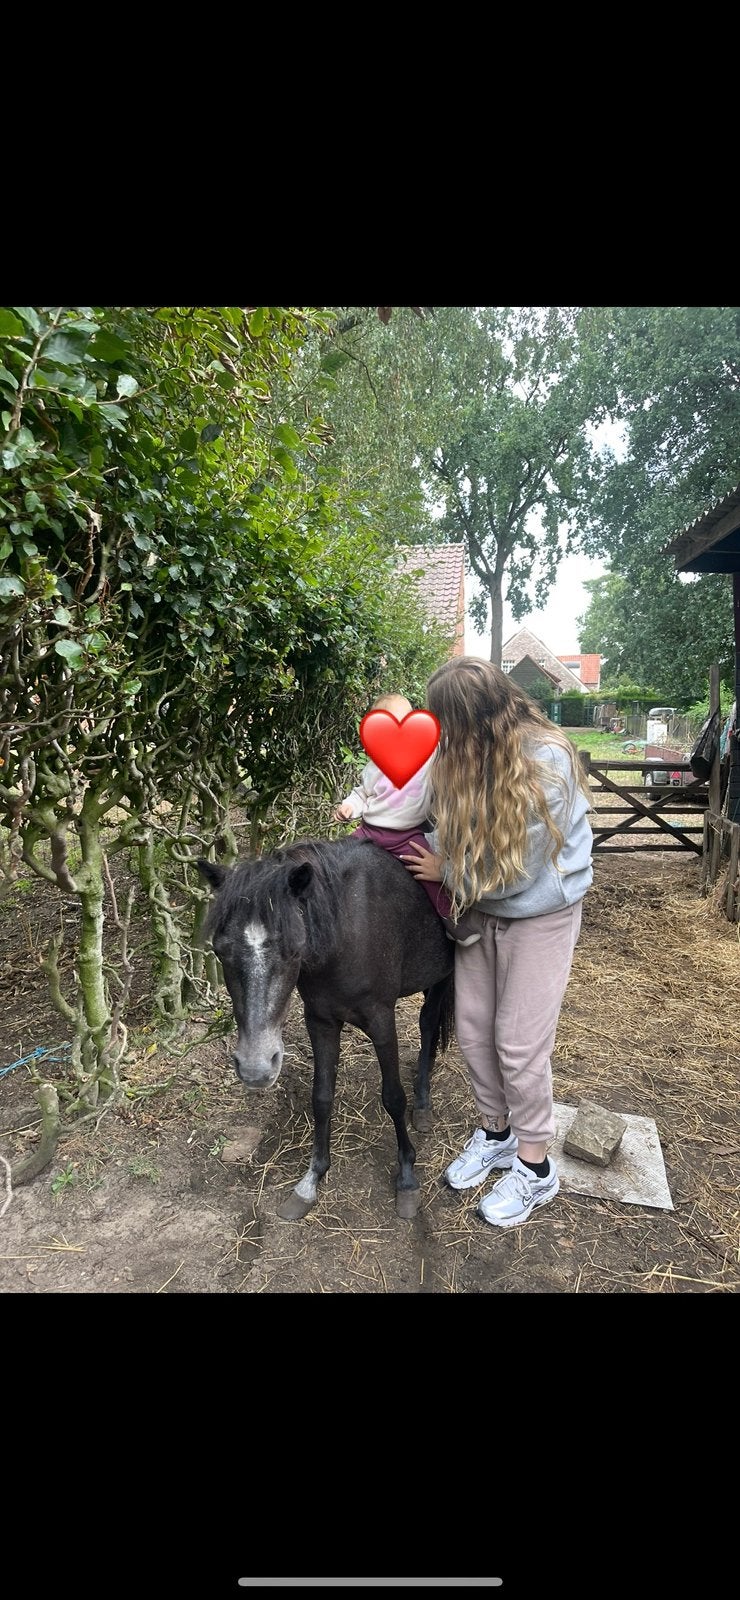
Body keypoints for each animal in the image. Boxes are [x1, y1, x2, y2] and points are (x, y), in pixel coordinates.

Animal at [197, 836, 455, 1220]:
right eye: (220, 950)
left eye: (293, 950)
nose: (256, 1068)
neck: (345, 933)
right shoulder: (320, 1020)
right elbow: (321, 1096)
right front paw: (311, 1179)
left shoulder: (382, 1020)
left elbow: (393, 1097)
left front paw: (407, 1178)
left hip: (441, 977)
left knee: (427, 1026)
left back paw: (423, 1104)